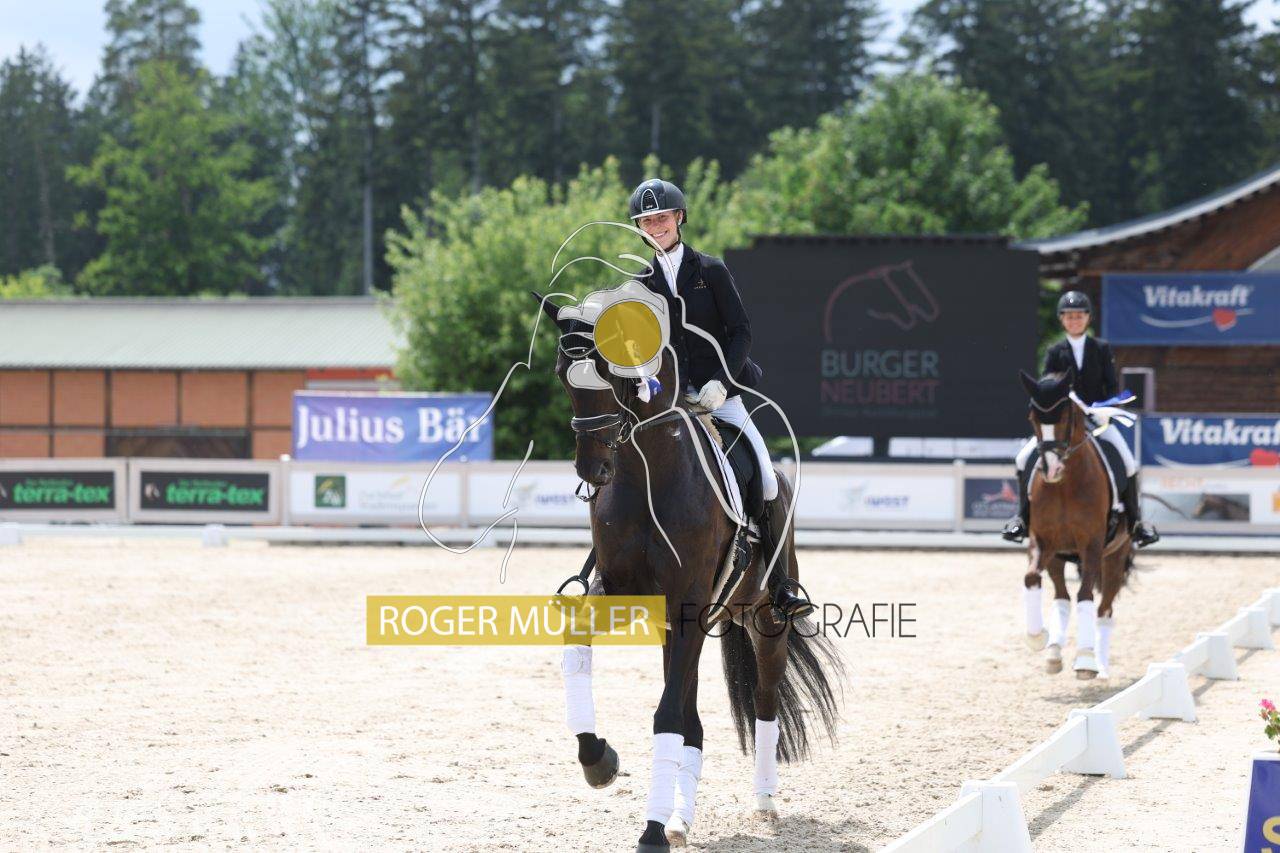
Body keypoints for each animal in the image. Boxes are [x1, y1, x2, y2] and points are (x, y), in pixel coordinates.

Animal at [536, 293, 841, 851]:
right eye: (562, 375)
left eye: (610, 374)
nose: (593, 471)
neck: (646, 471)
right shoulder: (624, 594)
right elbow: (579, 653)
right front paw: (599, 762)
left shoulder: (688, 606)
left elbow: (667, 715)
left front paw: (651, 831)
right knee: (693, 720)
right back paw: (681, 819)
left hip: (765, 620)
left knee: (764, 703)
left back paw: (764, 802)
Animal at [1018, 368, 1133, 680]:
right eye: (1032, 417)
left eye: (1065, 417)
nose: (1051, 470)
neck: (1065, 486)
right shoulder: (1042, 541)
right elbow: (1031, 578)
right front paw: (1037, 638)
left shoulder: (1091, 544)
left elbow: (1085, 595)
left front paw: (1085, 660)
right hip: (1059, 557)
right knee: (1061, 597)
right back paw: (1054, 652)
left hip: (1115, 555)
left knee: (1104, 609)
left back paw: (1100, 664)